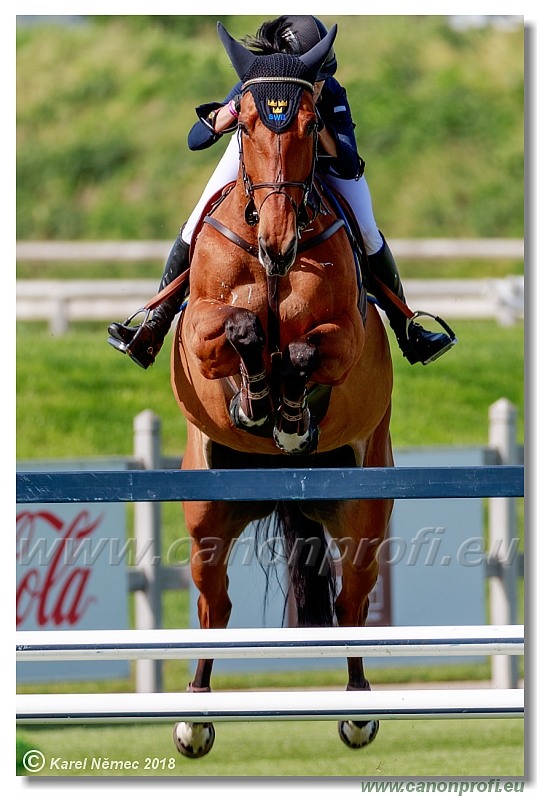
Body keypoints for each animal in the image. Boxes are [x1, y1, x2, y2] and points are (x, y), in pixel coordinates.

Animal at [169, 20, 392, 756]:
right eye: (241, 124)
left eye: (311, 122)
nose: (276, 243)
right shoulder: (200, 334)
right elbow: (238, 328)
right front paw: (257, 399)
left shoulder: (346, 339)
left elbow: (300, 349)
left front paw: (288, 414)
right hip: (206, 512)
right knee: (215, 604)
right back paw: (194, 717)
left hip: (365, 507)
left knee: (352, 601)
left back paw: (358, 710)